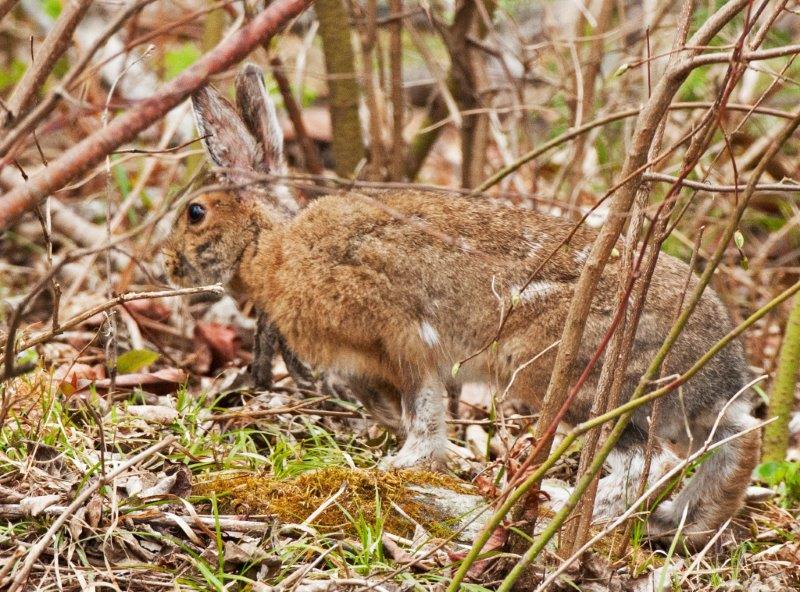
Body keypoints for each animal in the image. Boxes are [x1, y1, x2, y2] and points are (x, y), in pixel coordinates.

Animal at [162, 64, 760, 546]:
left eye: (195, 212)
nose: (166, 265)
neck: (274, 246)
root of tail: (719, 361)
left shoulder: (403, 341)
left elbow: (425, 416)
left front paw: (397, 467)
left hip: (572, 378)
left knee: (646, 462)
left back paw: (567, 514)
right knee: (736, 440)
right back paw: (683, 522)